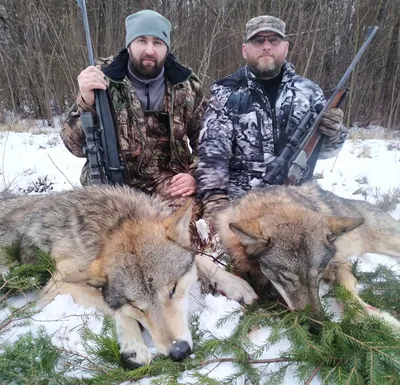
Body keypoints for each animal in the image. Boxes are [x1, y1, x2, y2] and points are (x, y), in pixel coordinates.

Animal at [0, 184, 256, 368]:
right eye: (136, 306)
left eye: (173, 290)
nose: (179, 351)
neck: (114, 224)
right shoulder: (57, 286)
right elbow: (112, 305)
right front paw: (133, 344)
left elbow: (201, 259)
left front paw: (236, 284)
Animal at [217, 183, 400, 324]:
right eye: (286, 278)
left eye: (318, 274)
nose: (316, 326)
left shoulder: (339, 263)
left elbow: (346, 294)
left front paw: (384, 322)